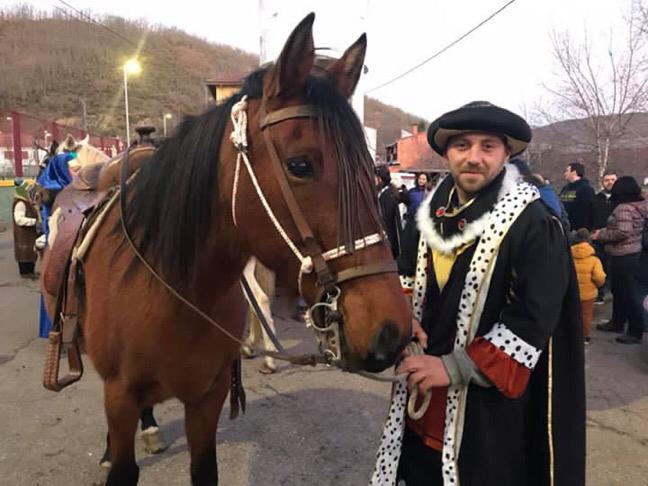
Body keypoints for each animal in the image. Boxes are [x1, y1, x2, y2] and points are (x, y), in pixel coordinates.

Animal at [77, 13, 410, 484]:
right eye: (300, 165)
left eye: (371, 169)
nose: (392, 331)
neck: (169, 291)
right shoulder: (120, 394)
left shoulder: (208, 397)